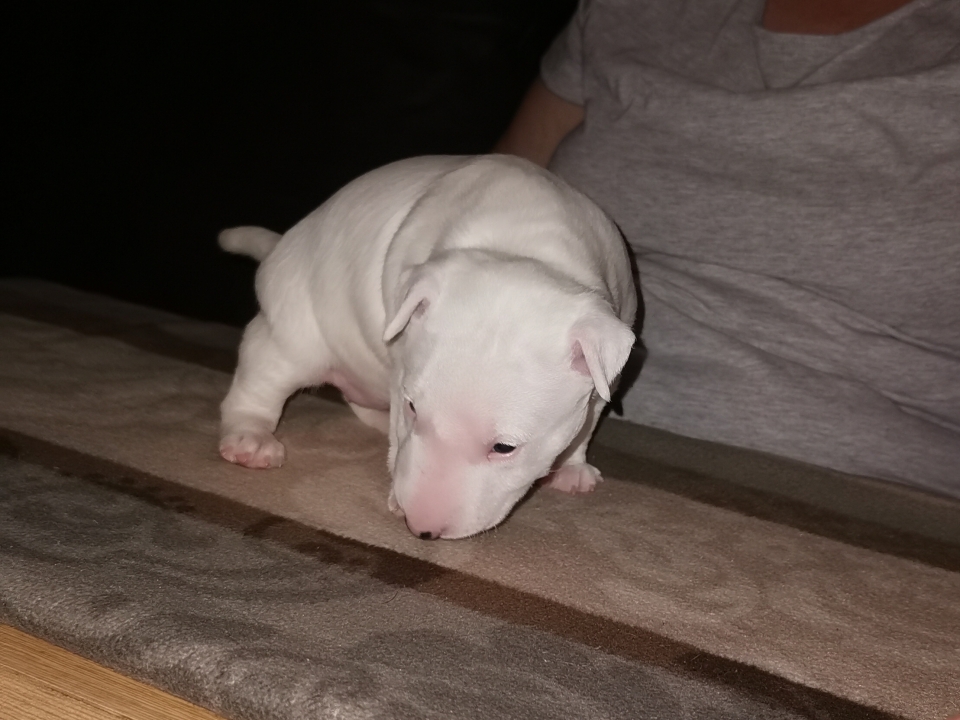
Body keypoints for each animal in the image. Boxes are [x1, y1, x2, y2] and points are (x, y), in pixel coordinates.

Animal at [219, 155, 637, 539]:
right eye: (413, 408)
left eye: (504, 447)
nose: (421, 529)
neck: (528, 248)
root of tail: (282, 246)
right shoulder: (399, 359)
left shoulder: (606, 374)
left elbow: (587, 422)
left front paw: (573, 467)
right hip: (294, 333)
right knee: (260, 377)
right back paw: (251, 438)